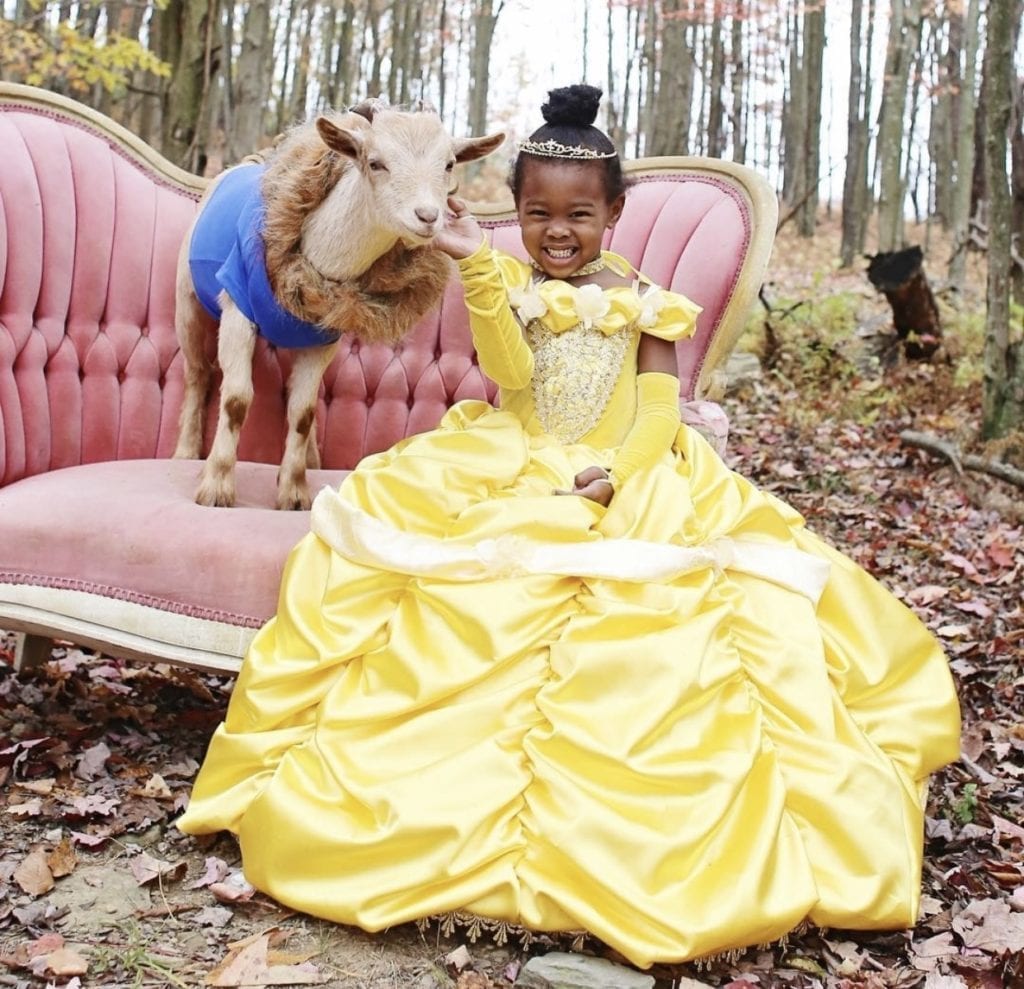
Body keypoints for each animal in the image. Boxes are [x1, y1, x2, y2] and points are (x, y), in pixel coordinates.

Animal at [174, 100, 505, 511]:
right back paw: (185, 451)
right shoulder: (237, 312)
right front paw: (216, 488)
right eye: (375, 162)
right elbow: (236, 399)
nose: (428, 217)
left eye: (448, 164)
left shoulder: (324, 334)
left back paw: (312, 459)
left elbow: (302, 412)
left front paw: (295, 492)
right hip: (187, 300)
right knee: (197, 372)